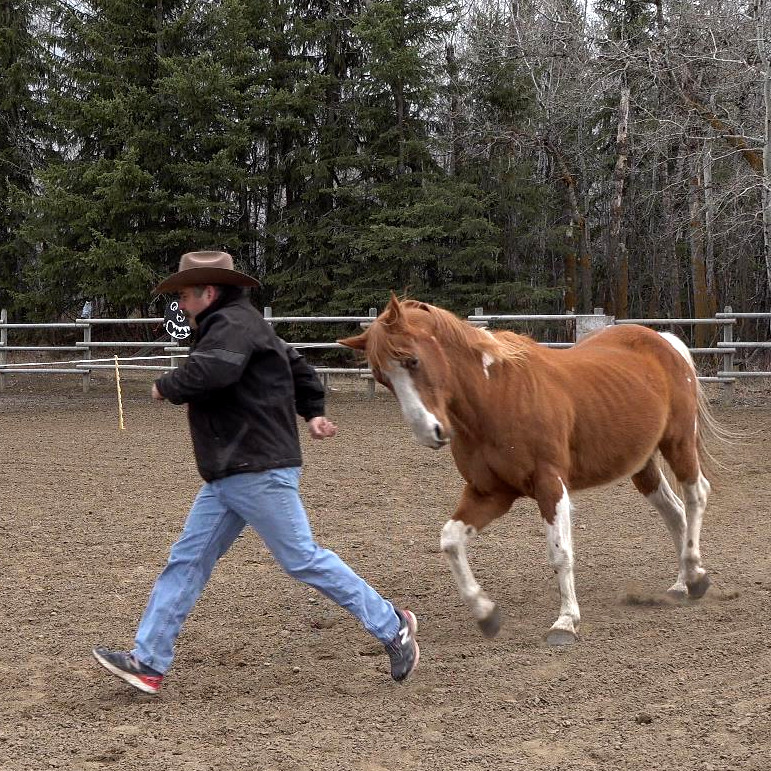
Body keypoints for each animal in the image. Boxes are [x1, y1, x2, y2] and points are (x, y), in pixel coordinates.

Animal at [340, 296, 716, 644]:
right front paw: (486, 614)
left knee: (696, 495)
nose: (429, 432)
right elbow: (450, 541)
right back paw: (681, 584)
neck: (496, 398)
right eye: (382, 378)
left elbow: (560, 553)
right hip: (641, 463)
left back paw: (696, 578)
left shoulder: (550, 485)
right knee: (674, 512)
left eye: (412, 360)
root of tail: (664, 341)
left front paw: (565, 622)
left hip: (678, 442)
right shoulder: (489, 493)